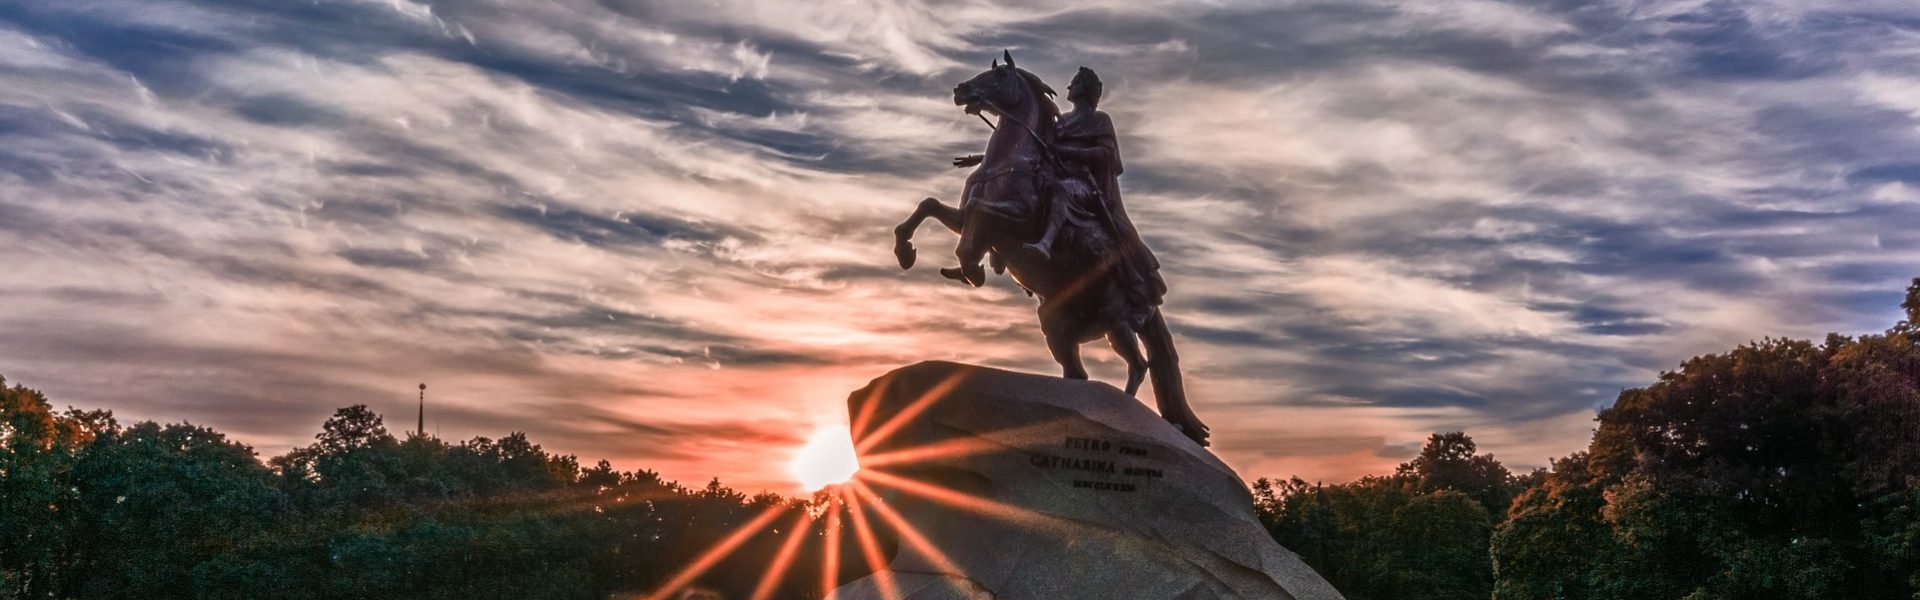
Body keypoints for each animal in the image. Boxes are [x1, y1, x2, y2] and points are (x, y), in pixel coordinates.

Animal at [890, 51, 1205, 446]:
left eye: (999, 76)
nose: (960, 90)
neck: (1012, 160)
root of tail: (1151, 304)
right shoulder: (964, 218)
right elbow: (931, 205)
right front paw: (907, 250)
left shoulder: (1016, 218)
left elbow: (980, 214)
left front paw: (972, 267)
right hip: (1056, 324)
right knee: (1078, 373)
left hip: (1117, 321)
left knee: (1138, 365)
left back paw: (1126, 414)